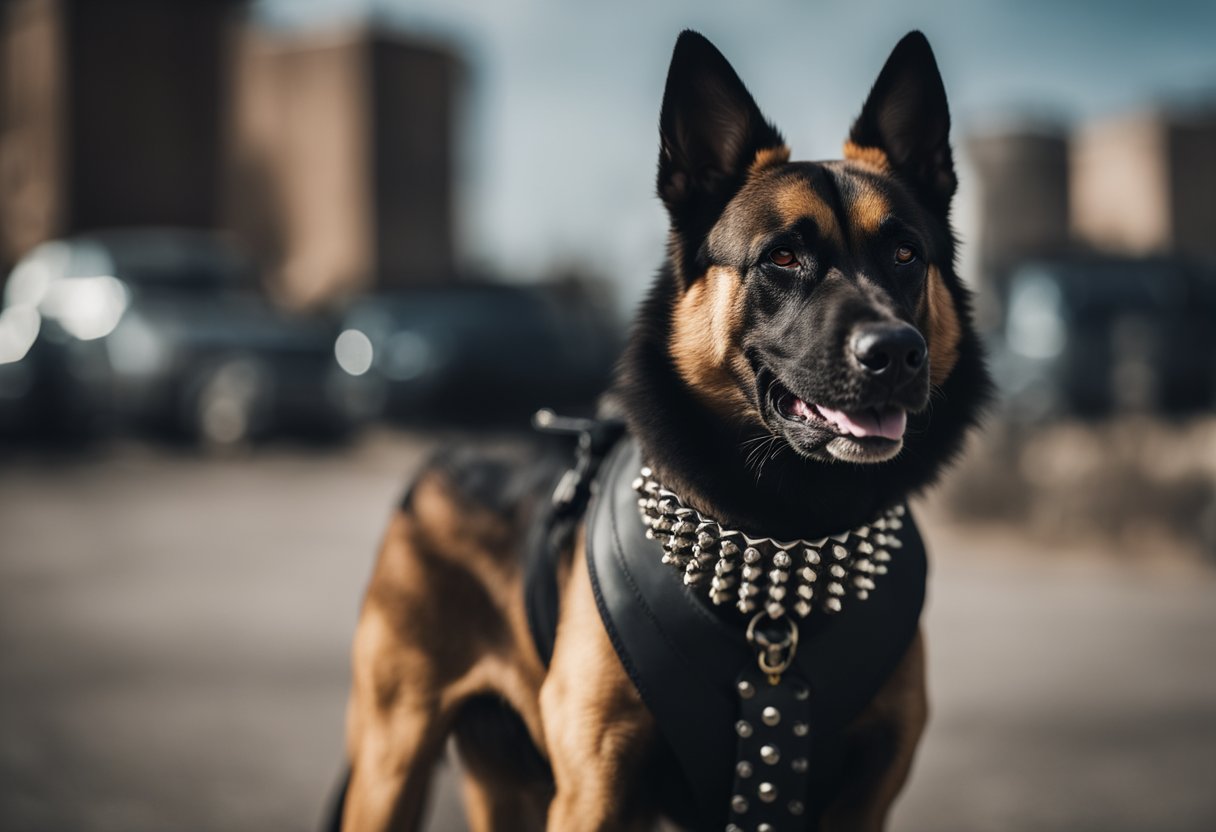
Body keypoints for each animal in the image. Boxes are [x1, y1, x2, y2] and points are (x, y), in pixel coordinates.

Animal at [335, 27, 987, 832]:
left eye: (905, 253)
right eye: (782, 256)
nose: (896, 352)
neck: (786, 531)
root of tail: (440, 462)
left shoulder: (864, 801)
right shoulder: (596, 792)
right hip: (390, 766)